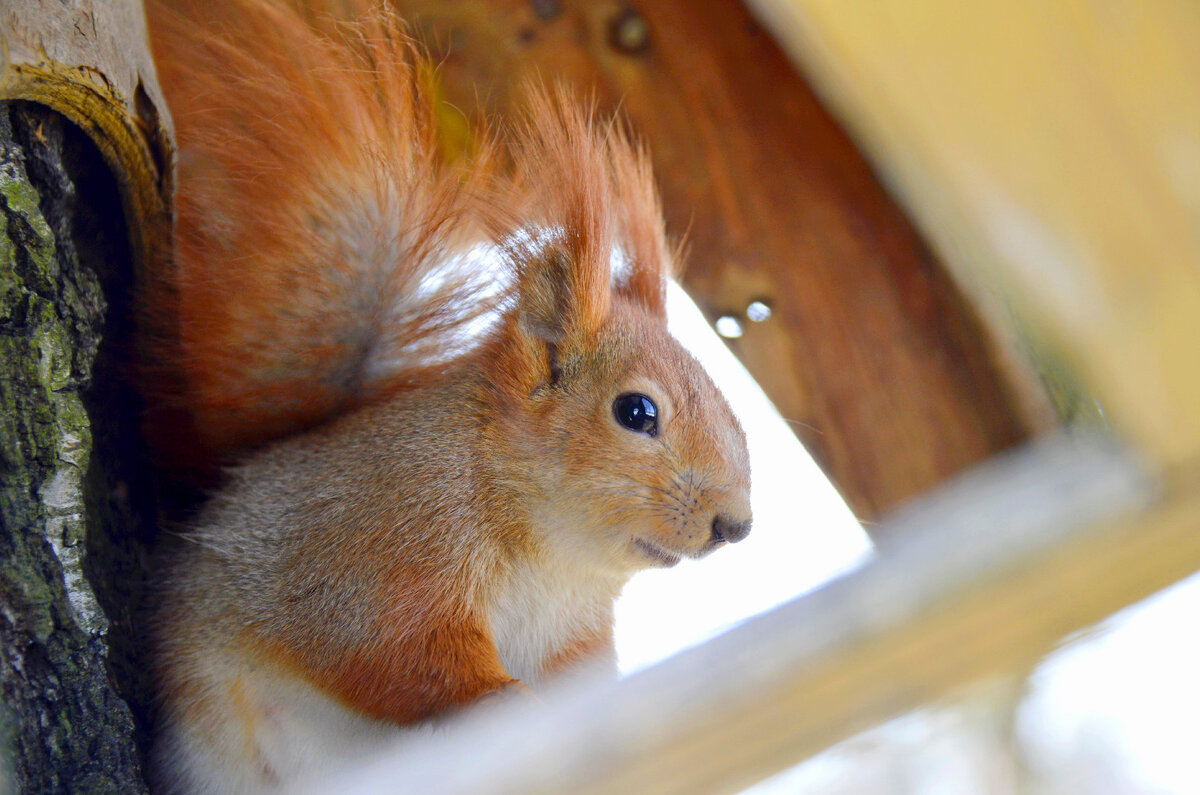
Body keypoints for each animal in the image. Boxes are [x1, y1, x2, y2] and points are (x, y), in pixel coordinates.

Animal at [142, 1, 748, 792]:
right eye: (637, 412)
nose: (735, 524)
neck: (553, 551)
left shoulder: (575, 634)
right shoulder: (382, 551)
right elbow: (398, 651)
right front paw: (501, 697)